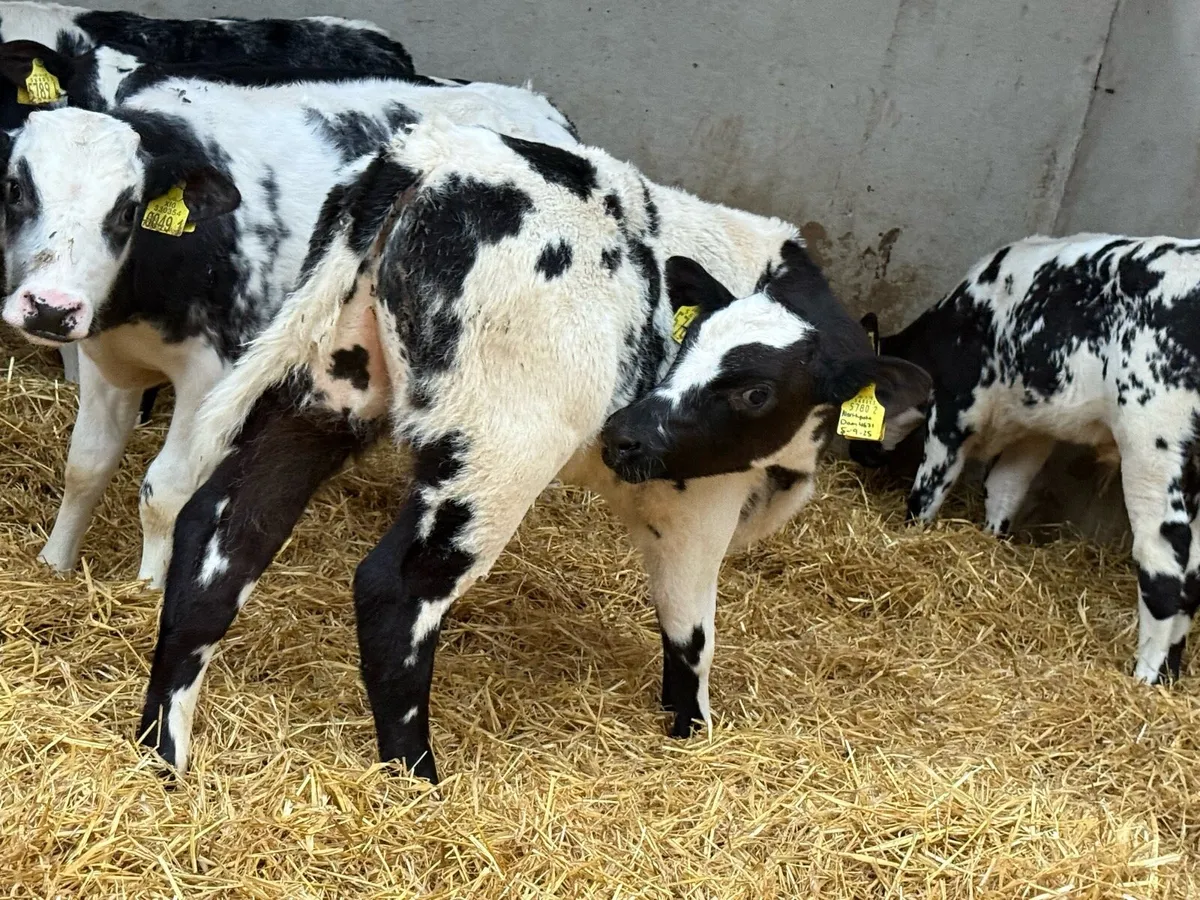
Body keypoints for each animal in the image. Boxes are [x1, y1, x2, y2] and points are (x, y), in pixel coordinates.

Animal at [0, 72, 579, 591]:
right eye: (16, 188)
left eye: (127, 208)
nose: (49, 308)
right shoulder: (107, 362)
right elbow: (85, 468)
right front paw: (55, 563)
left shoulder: (212, 378)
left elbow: (165, 490)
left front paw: (148, 588)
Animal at [134, 116, 930, 780]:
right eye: (691, 349)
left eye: (756, 390)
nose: (625, 434)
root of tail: (428, 155)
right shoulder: (697, 503)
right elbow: (690, 633)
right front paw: (692, 733)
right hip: (495, 446)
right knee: (395, 589)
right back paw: (416, 776)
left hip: (326, 387)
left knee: (222, 538)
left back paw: (163, 752)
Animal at [849, 233, 1200, 686]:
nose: (858, 453)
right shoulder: (1035, 429)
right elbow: (1005, 489)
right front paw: (989, 541)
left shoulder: (952, 413)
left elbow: (928, 492)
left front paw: (908, 538)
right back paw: (1170, 674)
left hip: (1152, 441)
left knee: (1166, 563)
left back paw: (1146, 676)